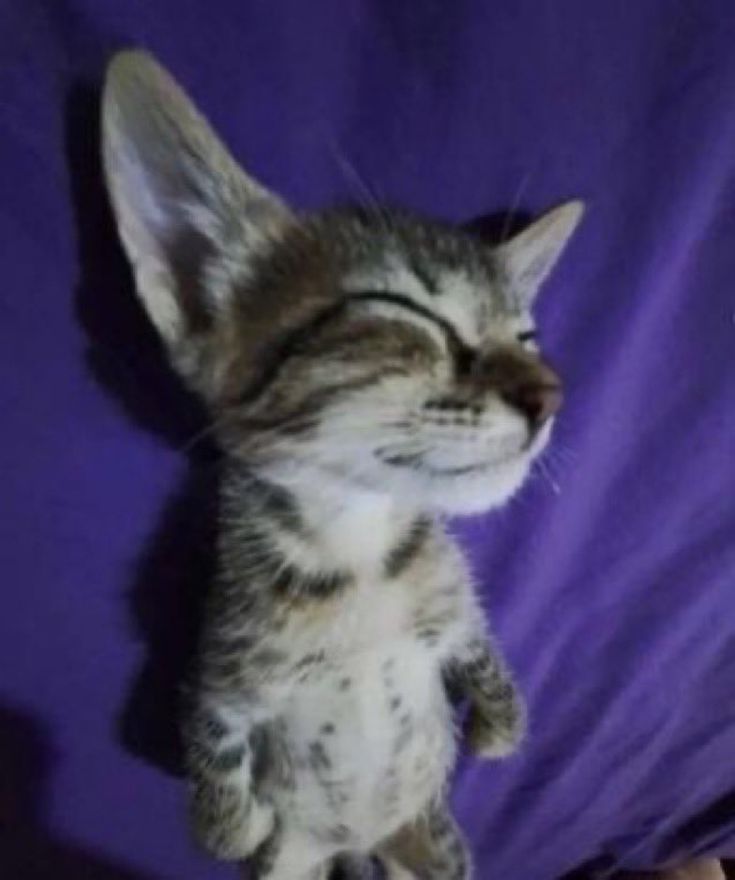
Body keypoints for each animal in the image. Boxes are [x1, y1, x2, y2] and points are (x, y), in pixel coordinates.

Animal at [103, 53, 584, 880]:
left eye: (526, 337)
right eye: (406, 312)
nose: (549, 394)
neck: (358, 551)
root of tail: (362, 844)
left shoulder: (453, 615)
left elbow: (481, 650)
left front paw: (500, 729)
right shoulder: (221, 675)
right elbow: (210, 762)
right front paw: (234, 825)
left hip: (440, 844)